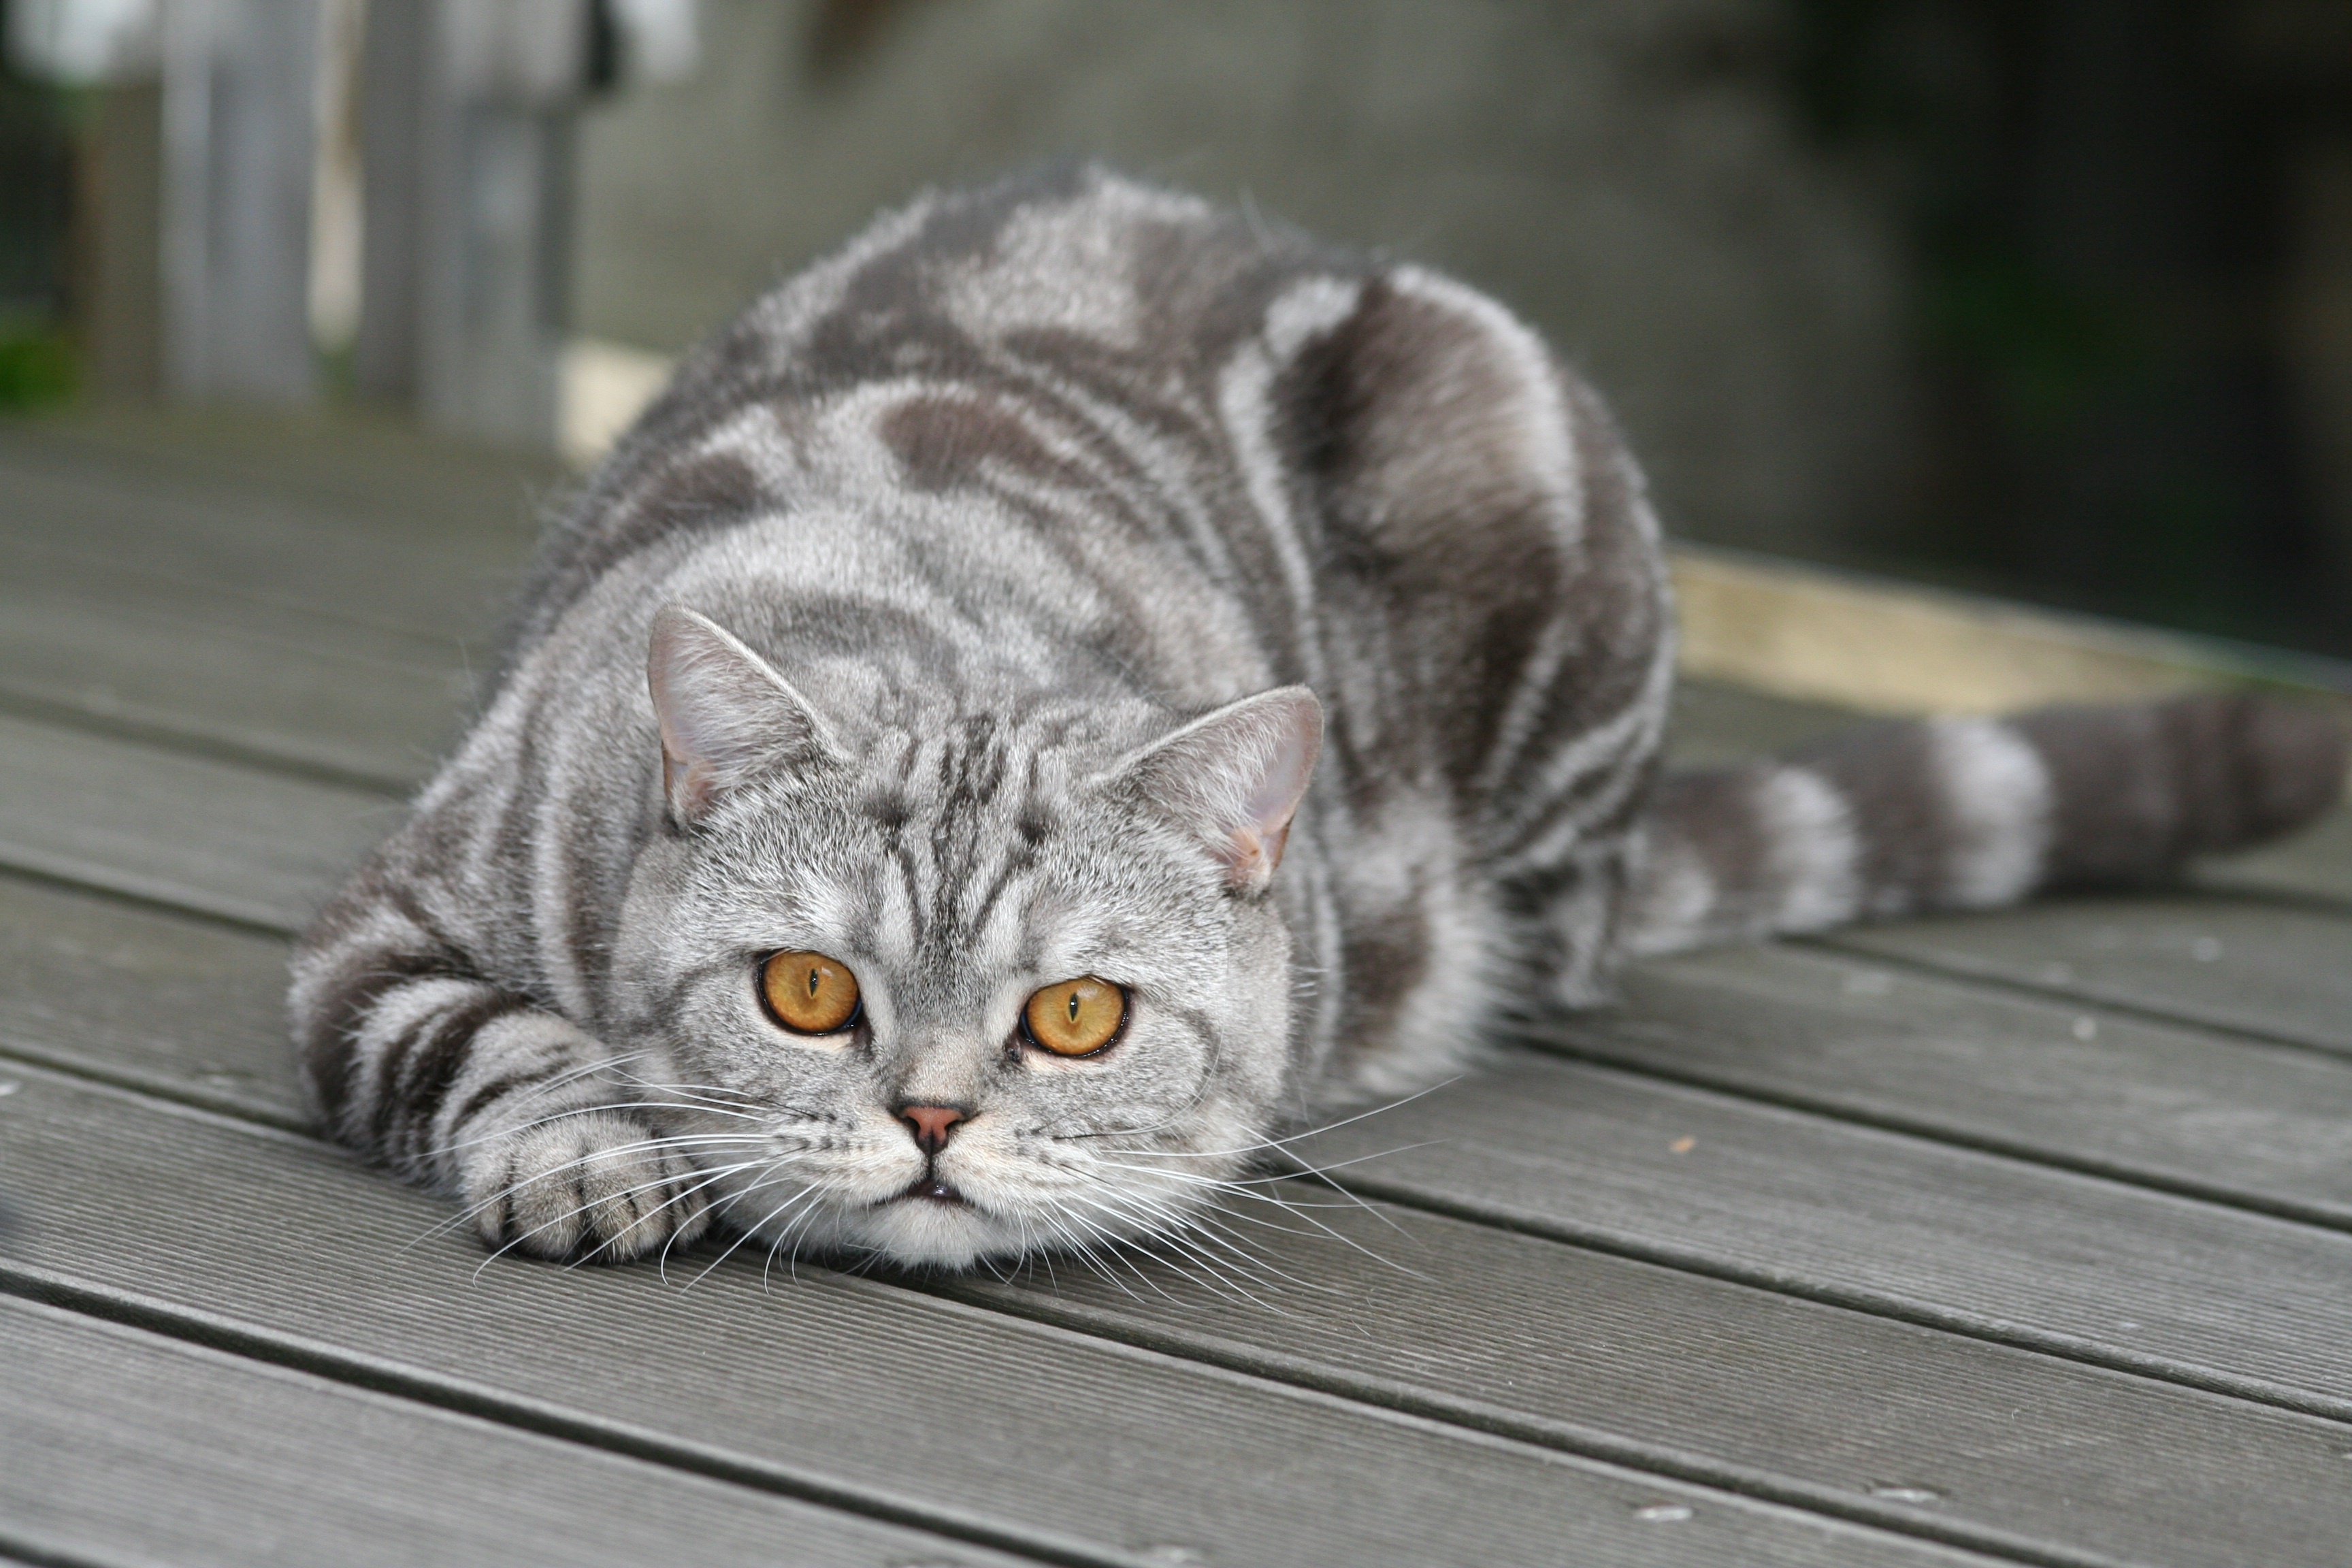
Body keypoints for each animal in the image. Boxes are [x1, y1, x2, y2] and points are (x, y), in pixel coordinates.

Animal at [284, 169, 2342, 1279]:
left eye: (1078, 1018)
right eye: (807, 994)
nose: (933, 1117)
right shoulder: (374, 933)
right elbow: (491, 1036)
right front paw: (587, 1151)